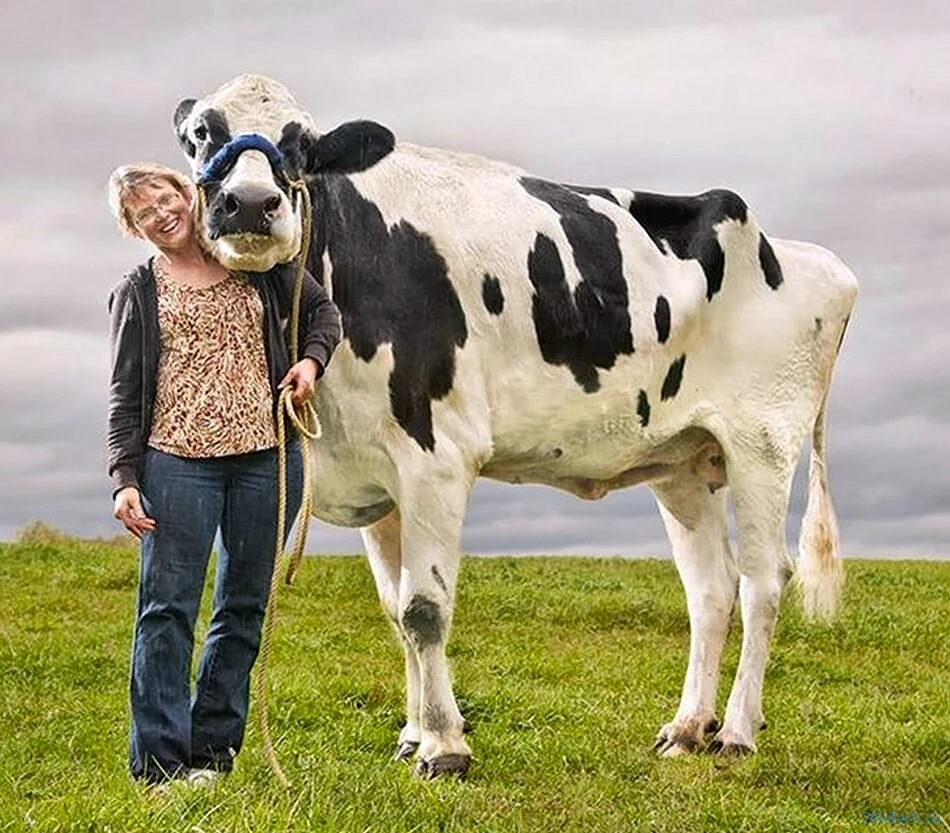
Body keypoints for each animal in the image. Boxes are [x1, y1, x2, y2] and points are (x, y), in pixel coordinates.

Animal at [172, 74, 858, 778]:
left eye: (301, 143)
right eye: (199, 134)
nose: (249, 204)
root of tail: (805, 254)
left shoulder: (436, 456)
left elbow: (423, 608)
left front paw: (444, 747)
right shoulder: (376, 470)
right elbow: (394, 609)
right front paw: (412, 736)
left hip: (762, 442)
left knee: (763, 581)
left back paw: (738, 732)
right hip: (684, 462)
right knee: (711, 589)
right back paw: (688, 728)